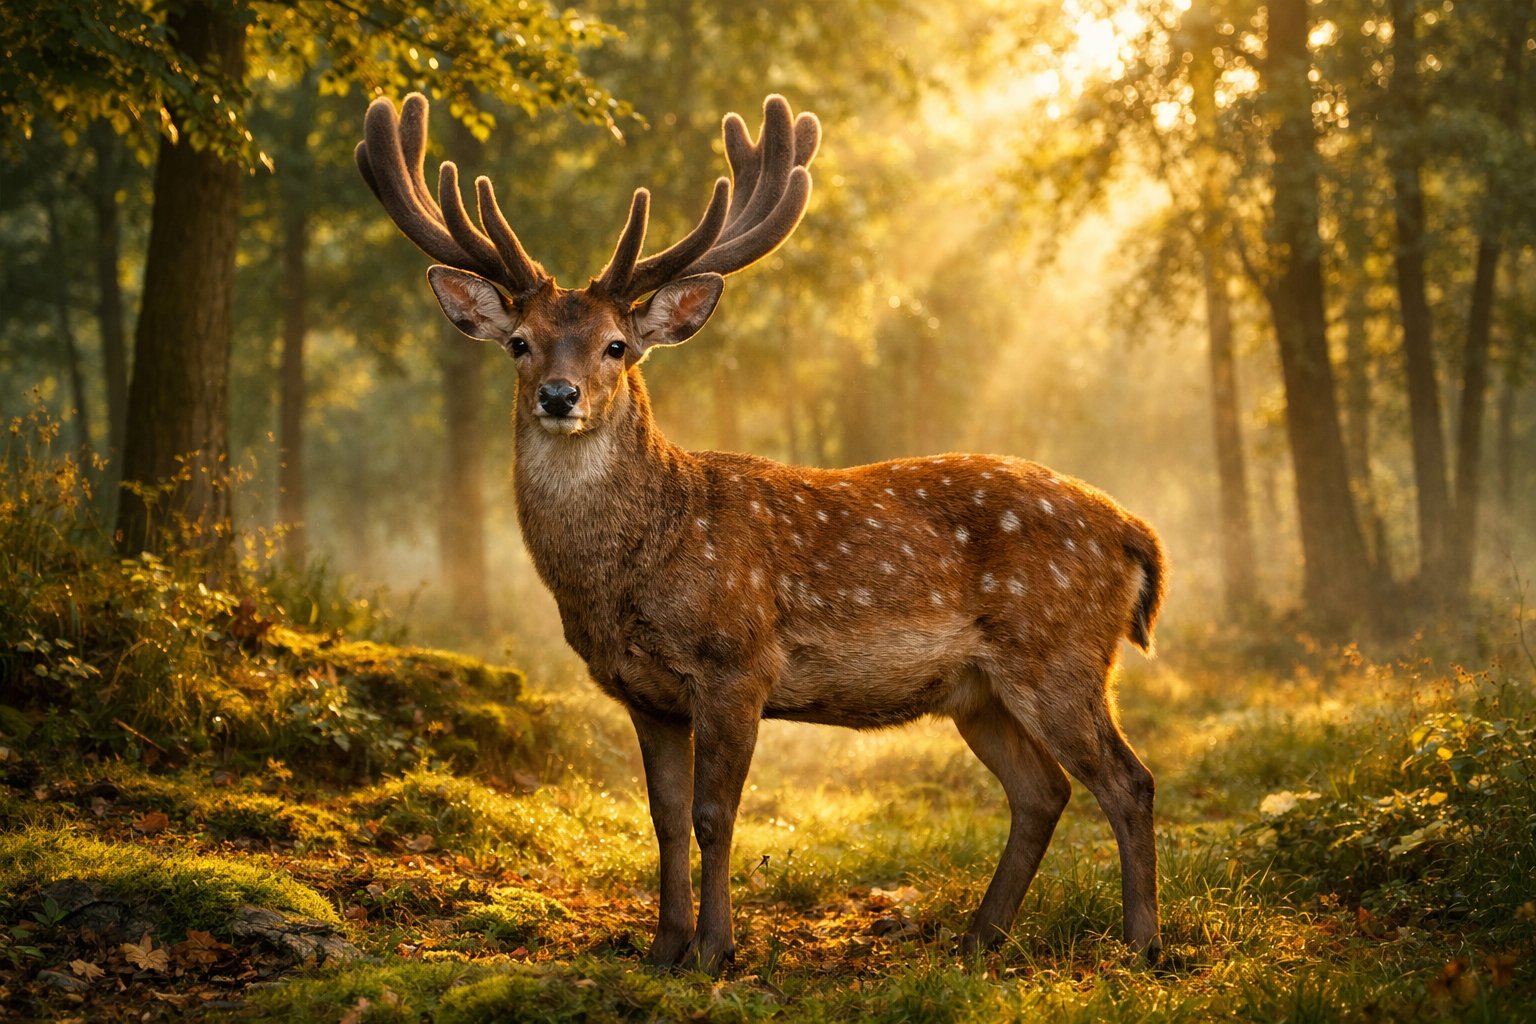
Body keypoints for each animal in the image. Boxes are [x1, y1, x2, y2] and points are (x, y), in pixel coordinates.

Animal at [356, 92, 1167, 975]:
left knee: (1128, 780)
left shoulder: (737, 661)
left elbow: (715, 815)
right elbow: (663, 819)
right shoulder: (643, 692)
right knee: (1042, 790)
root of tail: (1135, 533)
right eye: (518, 343)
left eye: (616, 345)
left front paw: (715, 950)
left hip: (1059, 653)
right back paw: (977, 939)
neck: (632, 574)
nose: (560, 395)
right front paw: (662, 947)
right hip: (977, 690)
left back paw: (1143, 947)